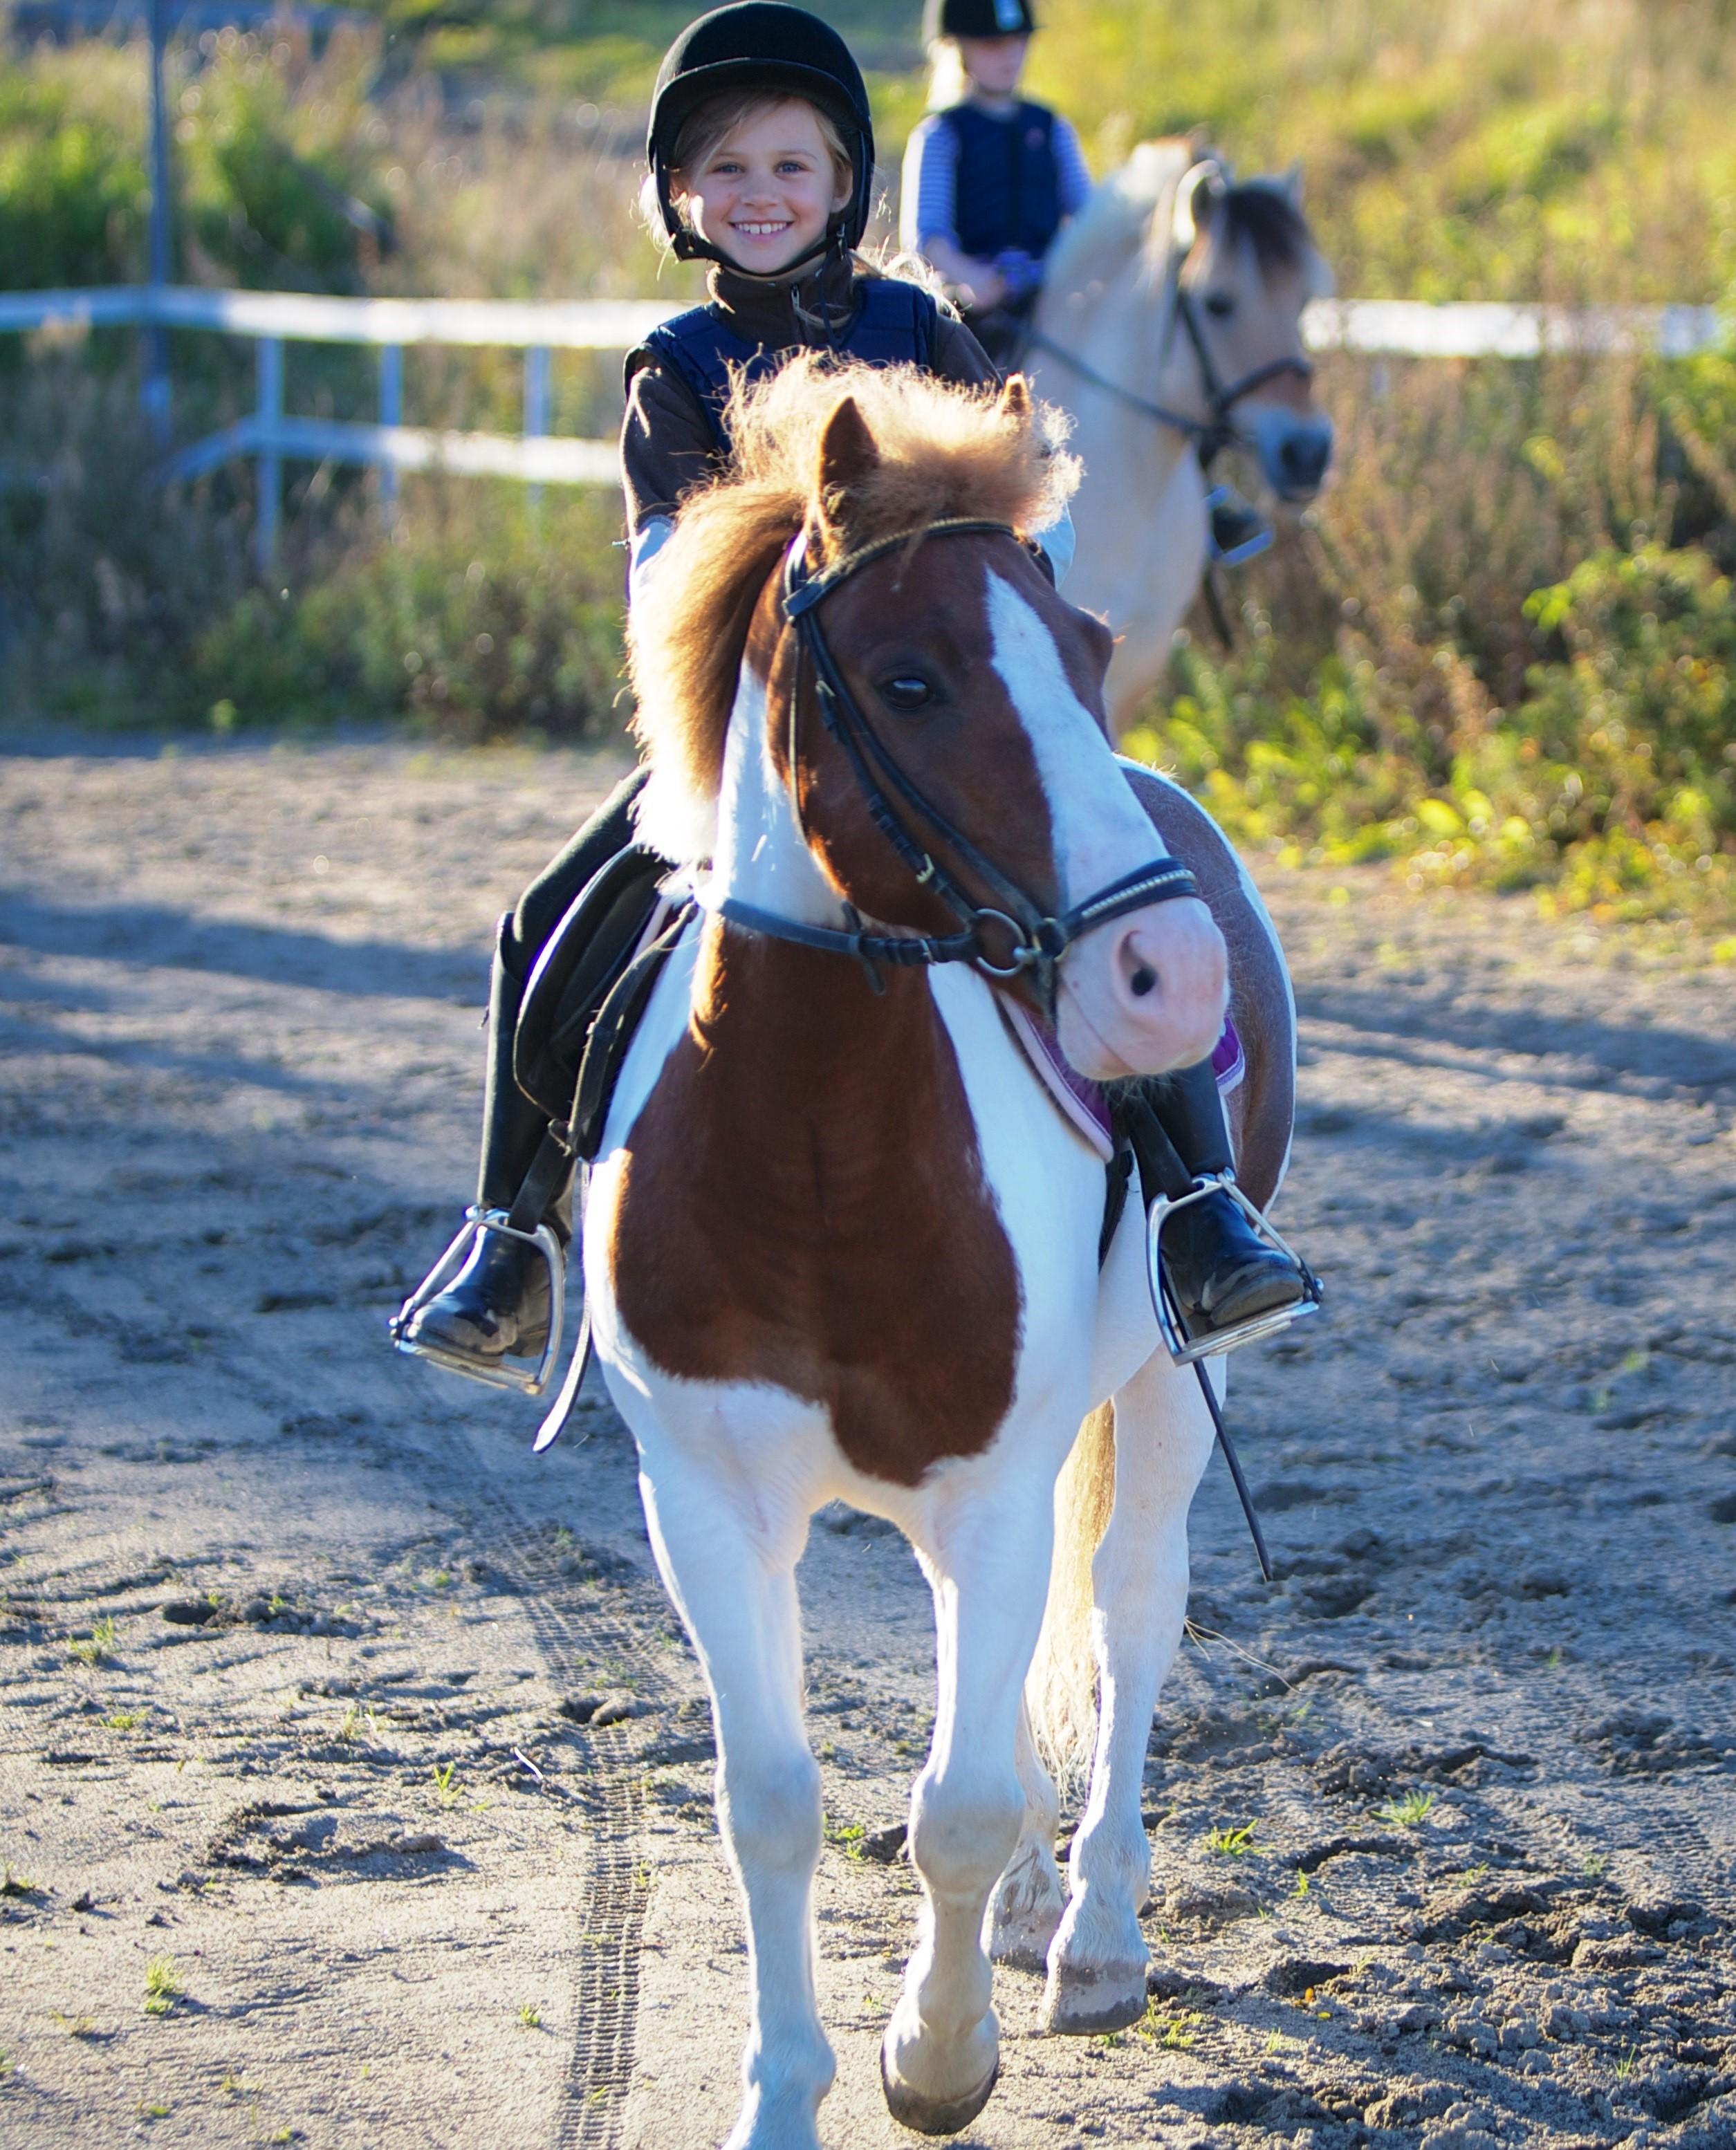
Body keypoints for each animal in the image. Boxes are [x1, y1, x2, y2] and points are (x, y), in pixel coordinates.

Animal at [589, 361, 1299, 2141]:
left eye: (1091, 649)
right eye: (909, 681)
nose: (1171, 975)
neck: (817, 1151)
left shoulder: (991, 1492)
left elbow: (960, 1801)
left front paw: (936, 2053)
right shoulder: (703, 1501)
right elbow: (770, 1801)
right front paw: (782, 2094)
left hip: (1163, 1396)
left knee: (1128, 1610)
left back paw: (1092, 1930)